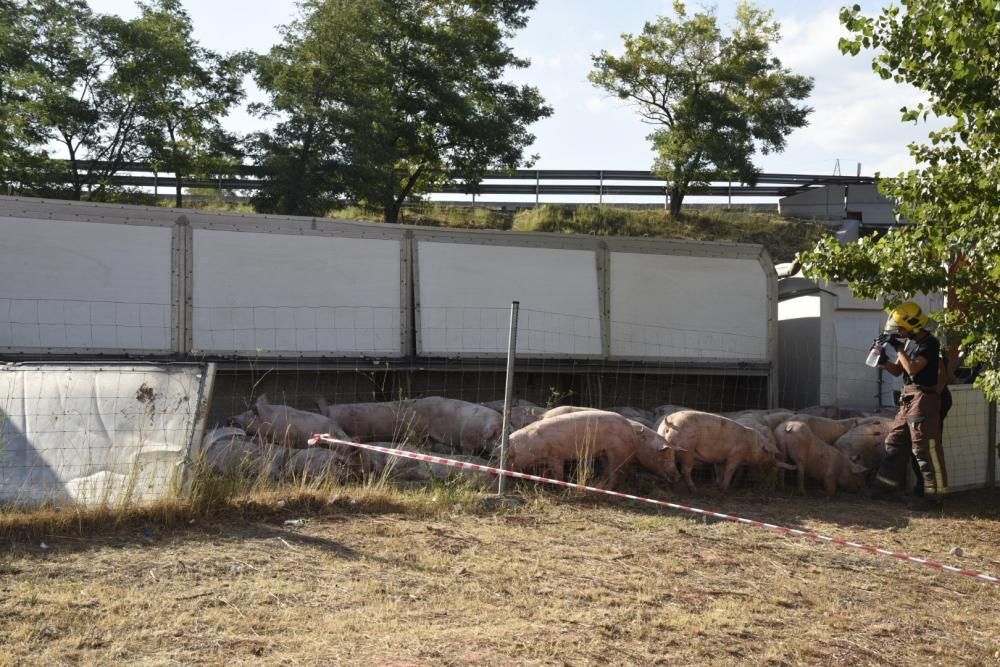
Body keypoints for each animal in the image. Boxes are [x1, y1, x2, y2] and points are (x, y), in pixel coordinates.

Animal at [656, 410, 788, 494]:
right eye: (769, 452)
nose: (772, 461)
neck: (752, 444)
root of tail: (670, 421)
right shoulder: (735, 456)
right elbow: (729, 470)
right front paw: (724, 489)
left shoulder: (720, 459)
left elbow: (719, 470)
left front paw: (718, 486)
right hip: (687, 451)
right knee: (685, 471)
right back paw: (694, 490)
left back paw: (671, 486)